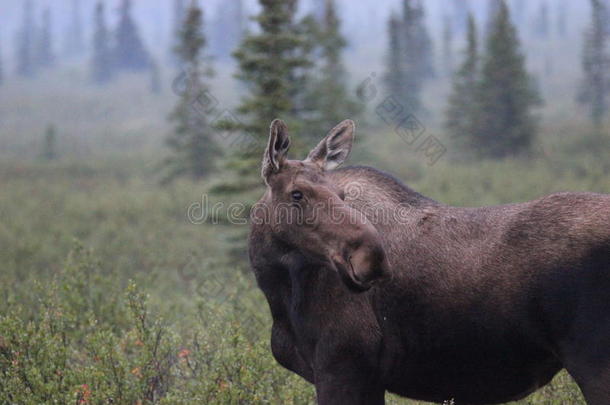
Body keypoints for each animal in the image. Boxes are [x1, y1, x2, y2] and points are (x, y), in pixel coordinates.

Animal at [247, 118, 608, 402]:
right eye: (296, 194)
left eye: (342, 195)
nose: (372, 258)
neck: (279, 291)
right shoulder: (363, 378)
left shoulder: (343, 366)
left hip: (592, 359)